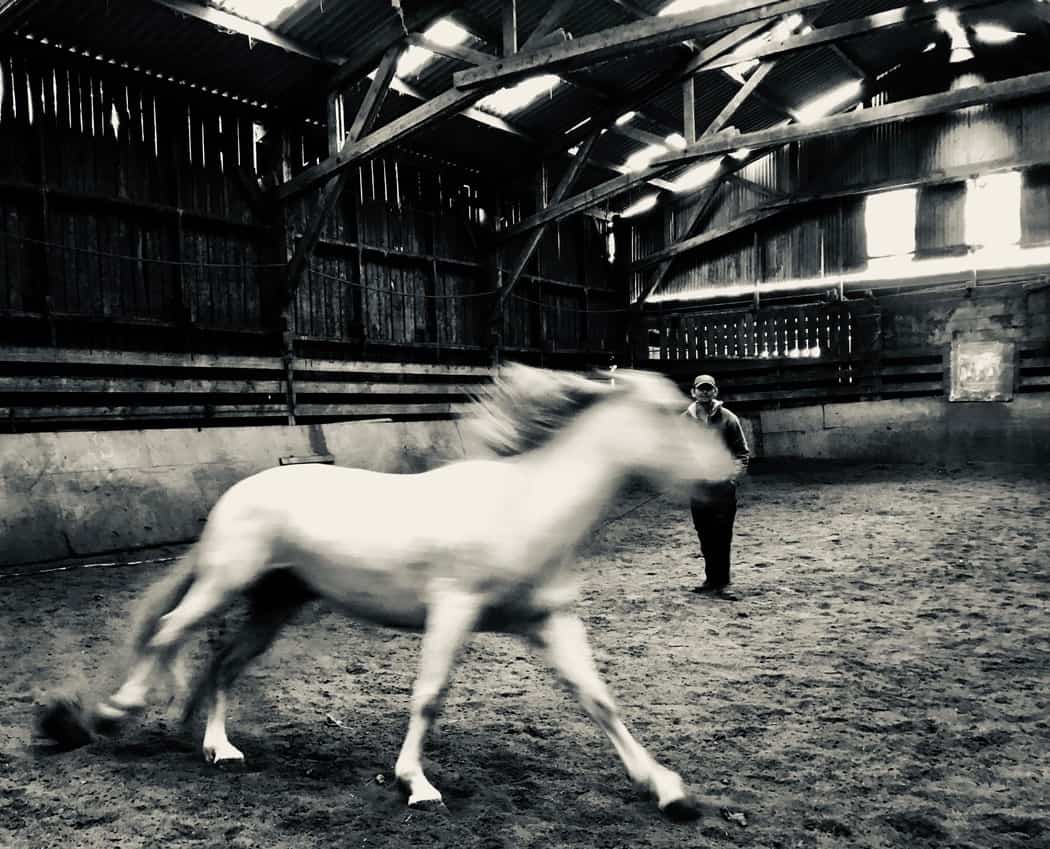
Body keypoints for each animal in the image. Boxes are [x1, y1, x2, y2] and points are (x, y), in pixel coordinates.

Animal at [37, 363, 739, 821]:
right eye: (666, 415)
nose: (726, 472)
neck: (523, 507)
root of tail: (236, 495)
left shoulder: (548, 619)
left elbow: (600, 701)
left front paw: (669, 791)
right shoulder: (453, 609)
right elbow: (429, 696)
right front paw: (417, 786)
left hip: (276, 602)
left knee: (224, 661)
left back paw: (221, 749)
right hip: (225, 582)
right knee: (169, 633)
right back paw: (112, 714)